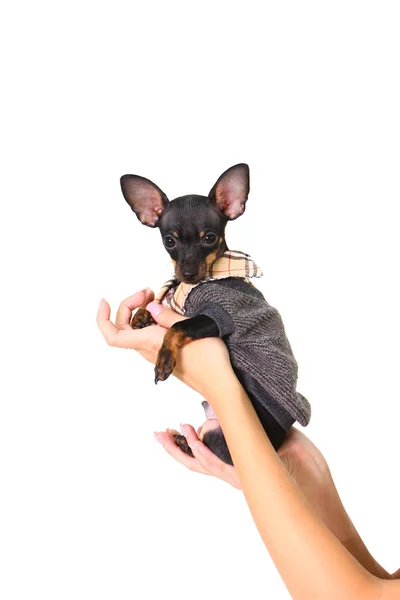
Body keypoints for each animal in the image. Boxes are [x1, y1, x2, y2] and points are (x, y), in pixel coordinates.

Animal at [119, 164, 310, 464]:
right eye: (169, 241)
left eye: (209, 238)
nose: (187, 272)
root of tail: (279, 443)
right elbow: (155, 300)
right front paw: (141, 315)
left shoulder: (216, 318)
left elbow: (177, 327)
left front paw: (164, 359)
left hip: (220, 436)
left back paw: (184, 442)